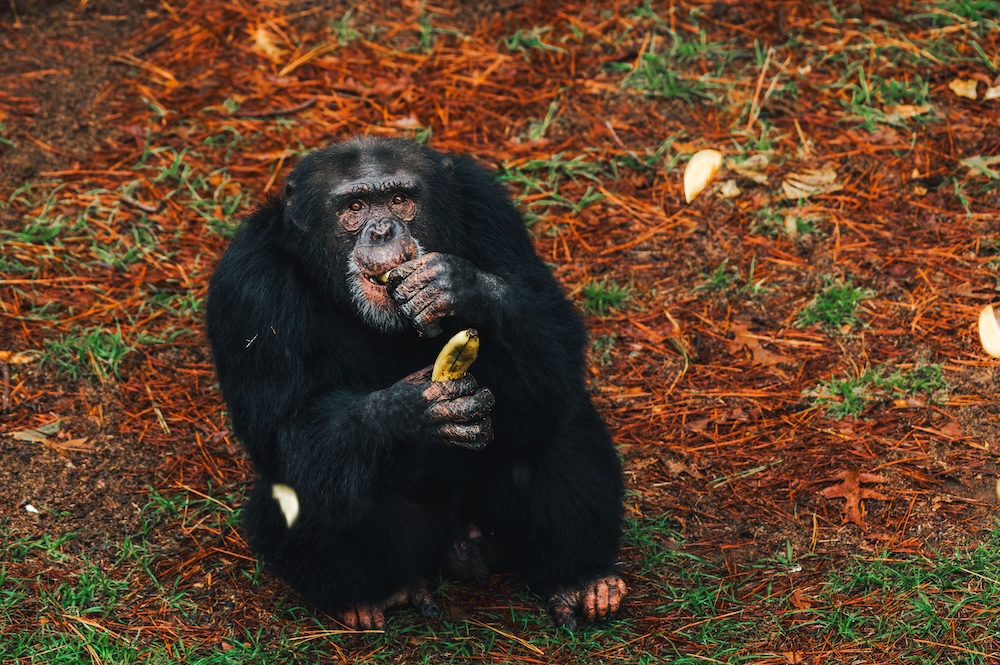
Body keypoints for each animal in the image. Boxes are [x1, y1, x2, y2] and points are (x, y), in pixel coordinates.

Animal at [204, 135, 624, 628]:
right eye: (355, 206)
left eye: (400, 200)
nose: (384, 230)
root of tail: (462, 548)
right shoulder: (249, 284)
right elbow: (281, 428)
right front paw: (419, 408)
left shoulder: (491, 208)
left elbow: (555, 337)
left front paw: (456, 285)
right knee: (303, 485)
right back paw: (375, 596)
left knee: (552, 415)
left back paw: (581, 579)